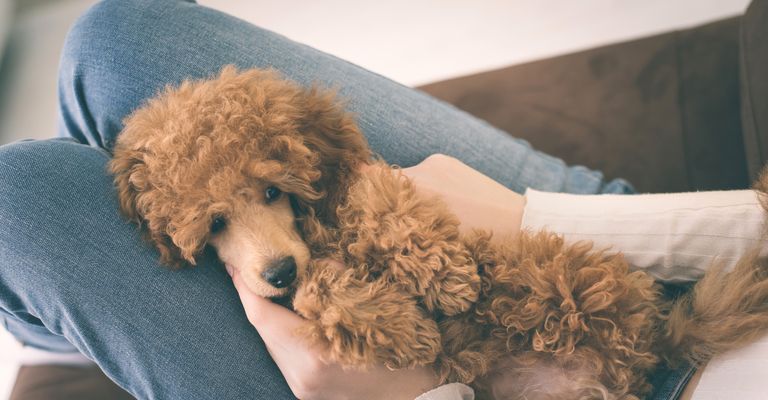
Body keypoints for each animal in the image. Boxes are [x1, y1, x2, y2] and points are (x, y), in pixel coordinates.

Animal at [109, 67, 768, 398]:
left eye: (273, 191)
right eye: (215, 224)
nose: (277, 270)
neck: (314, 238)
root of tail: (648, 346)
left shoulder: (359, 183)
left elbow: (378, 204)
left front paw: (442, 277)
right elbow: (318, 291)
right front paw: (401, 325)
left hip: (559, 270)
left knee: (532, 284)